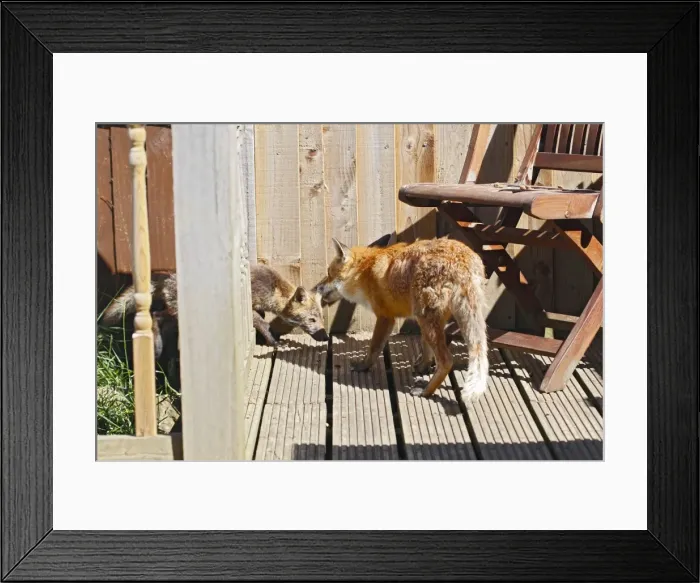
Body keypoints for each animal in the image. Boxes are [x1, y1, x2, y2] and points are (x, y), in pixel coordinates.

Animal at [100, 264, 328, 356]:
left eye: (321, 319)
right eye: (312, 320)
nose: (326, 337)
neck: (273, 290)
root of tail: (169, 276)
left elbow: (262, 320)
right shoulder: (250, 307)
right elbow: (263, 324)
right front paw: (273, 342)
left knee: (156, 315)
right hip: (179, 313)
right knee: (154, 315)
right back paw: (156, 347)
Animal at [313, 236, 489, 401]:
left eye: (328, 273)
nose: (316, 288)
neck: (365, 271)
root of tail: (463, 259)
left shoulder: (385, 317)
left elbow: (373, 348)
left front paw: (363, 366)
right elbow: (425, 348)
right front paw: (423, 367)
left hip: (425, 316)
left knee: (446, 361)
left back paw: (426, 392)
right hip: (429, 318)